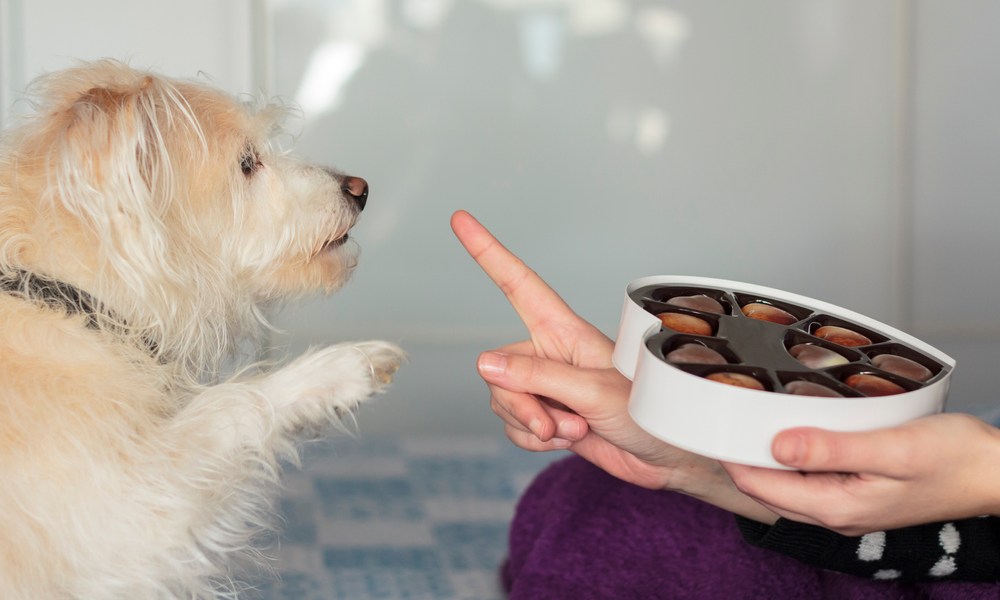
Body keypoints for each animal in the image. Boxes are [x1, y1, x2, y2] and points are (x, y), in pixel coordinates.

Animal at [0, 62, 406, 600]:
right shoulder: (123, 514)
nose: (360, 188)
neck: (68, 294)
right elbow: (229, 404)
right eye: (247, 164)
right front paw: (338, 370)